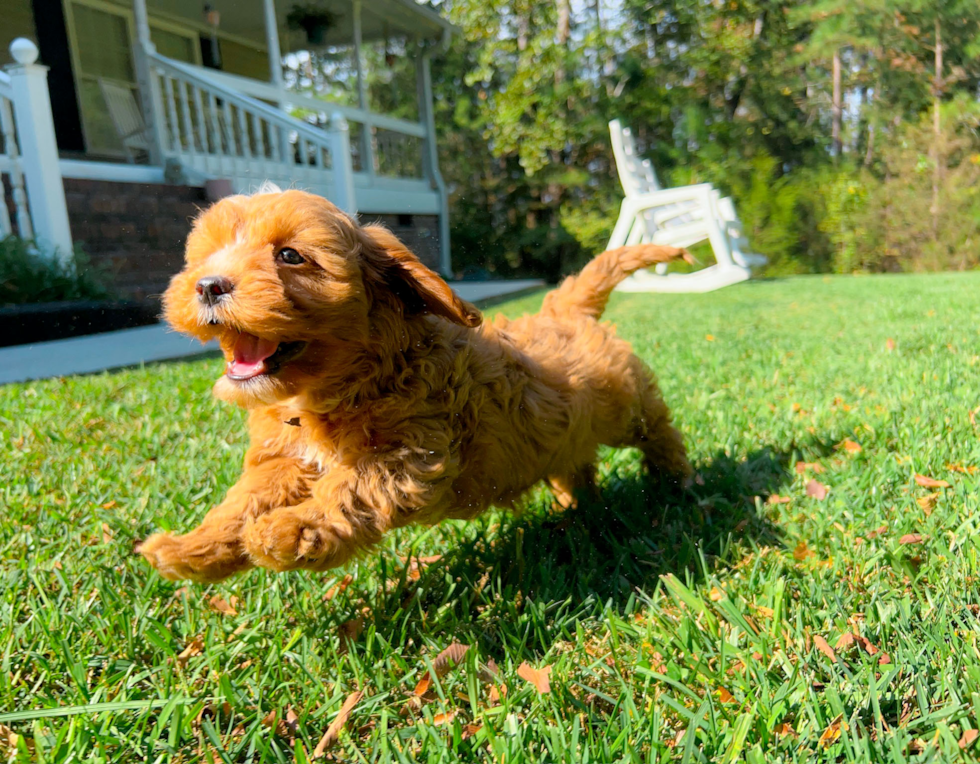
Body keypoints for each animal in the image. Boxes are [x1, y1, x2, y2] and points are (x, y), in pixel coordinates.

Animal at [136, 188, 688, 580]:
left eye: (291, 256)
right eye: (206, 256)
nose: (208, 285)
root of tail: (564, 307)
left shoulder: (412, 454)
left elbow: (348, 487)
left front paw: (290, 529)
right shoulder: (284, 459)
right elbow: (245, 498)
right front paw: (192, 549)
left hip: (626, 406)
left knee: (658, 429)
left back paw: (674, 481)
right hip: (565, 427)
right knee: (576, 462)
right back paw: (575, 507)